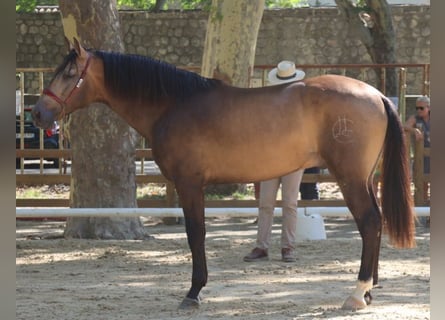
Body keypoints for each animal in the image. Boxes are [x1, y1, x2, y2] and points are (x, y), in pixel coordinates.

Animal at [33, 38, 414, 312]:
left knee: (369, 222)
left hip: (350, 178)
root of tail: (376, 94)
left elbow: (196, 234)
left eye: (69, 74)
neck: (173, 104)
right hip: (364, 179)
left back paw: (357, 293)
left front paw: (193, 292)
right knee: (375, 222)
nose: (38, 113)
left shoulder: (189, 184)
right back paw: (369, 291)